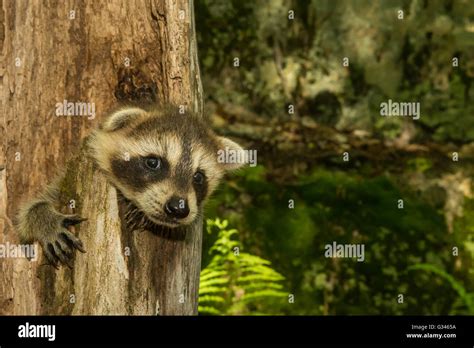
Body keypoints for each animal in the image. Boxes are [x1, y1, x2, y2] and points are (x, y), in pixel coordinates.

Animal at [15, 104, 244, 268]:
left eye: (198, 177)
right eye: (153, 162)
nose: (178, 208)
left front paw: (140, 213)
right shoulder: (63, 181)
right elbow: (30, 215)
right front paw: (43, 217)